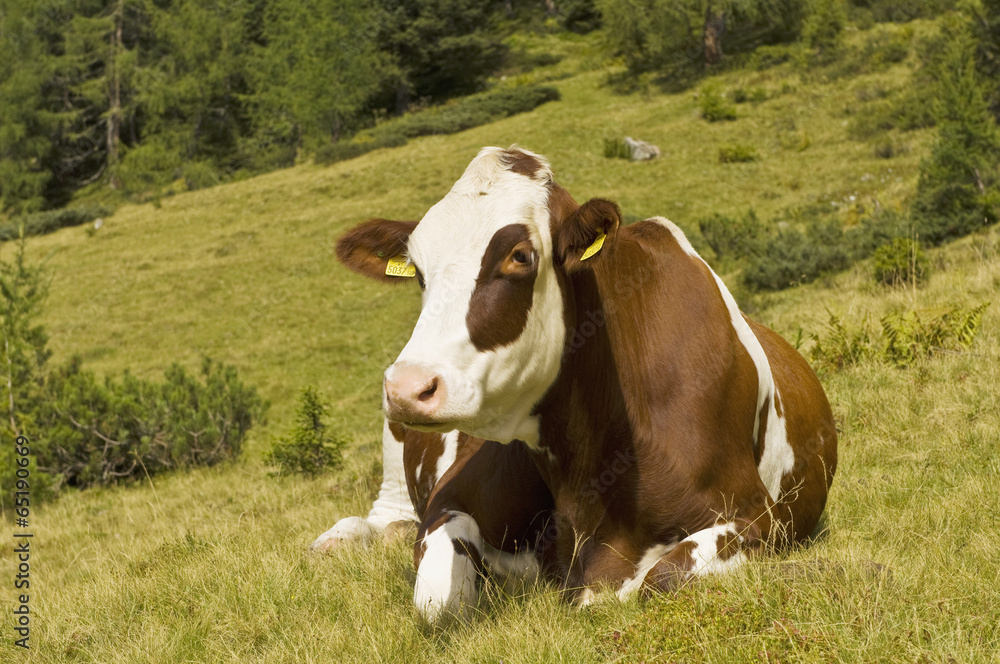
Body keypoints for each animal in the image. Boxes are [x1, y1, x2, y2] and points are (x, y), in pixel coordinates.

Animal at [320, 146, 837, 621]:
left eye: (520, 256)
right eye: (419, 273)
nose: (408, 387)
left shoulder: (759, 518)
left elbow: (660, 578)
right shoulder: (446, 501)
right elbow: (435, 601)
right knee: (387, 514)